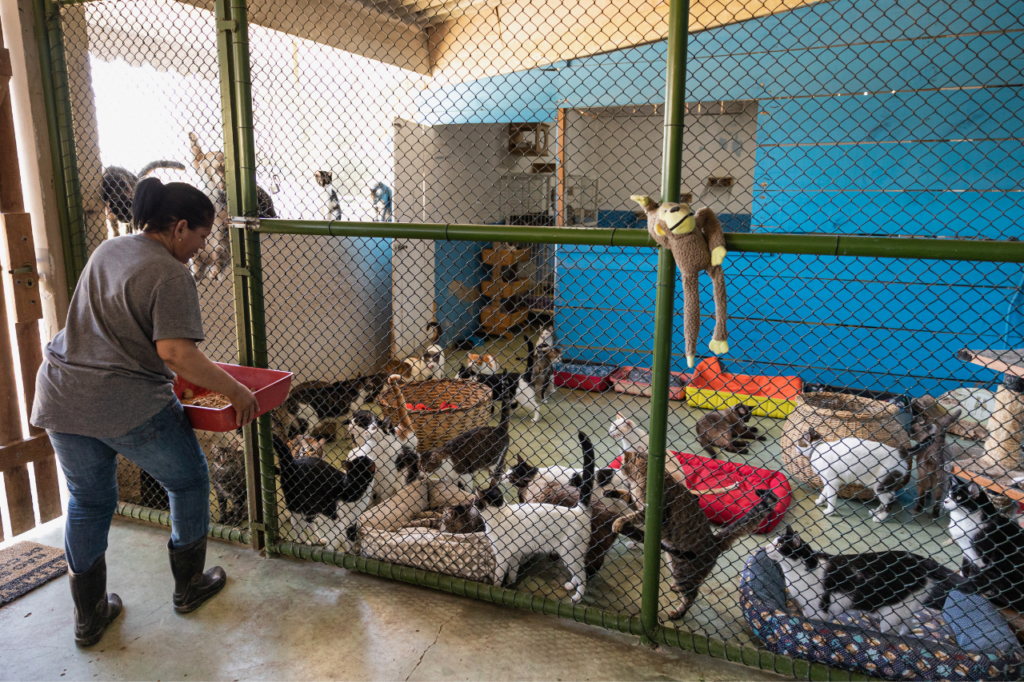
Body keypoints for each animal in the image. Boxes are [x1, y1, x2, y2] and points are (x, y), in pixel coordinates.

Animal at [475, 430, 598, 602]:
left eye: (475, 501)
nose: (503, 476)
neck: (501, 513)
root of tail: (578, 509)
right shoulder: (515, 553)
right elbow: (513, 571)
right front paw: (510, 582)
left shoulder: (502, 555)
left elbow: (498, 576)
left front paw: (495, 589)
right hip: (572, 555)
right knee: (579, 573)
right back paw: (571, 585)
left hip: (569, 554)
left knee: (583, 575)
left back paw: (577, 597)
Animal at [610, 448, 770, 618]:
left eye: (622, 463)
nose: (619, 468)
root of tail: (715, 542)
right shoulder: (637, 503)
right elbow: (625, 495)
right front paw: (611, 492)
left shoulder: (651, 512)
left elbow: (630, 516)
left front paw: (619, 522)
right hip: (674, 562)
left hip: (684, 572)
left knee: (692, 595)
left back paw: (678, 613)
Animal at [770, 524, 962, 630]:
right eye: (773, 541)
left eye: (779, 545)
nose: (766, 546)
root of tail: (921, 560)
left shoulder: (819, 609)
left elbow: (813, 621)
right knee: (907, 627)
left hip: (894, 610)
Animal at [937, 475, 1024, 606]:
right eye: (949, 494)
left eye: (958, 497)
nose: (945, 501)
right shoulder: (966, 552)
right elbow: (965, 566)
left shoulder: (981, 556)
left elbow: (974, 573)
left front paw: (969, 587)